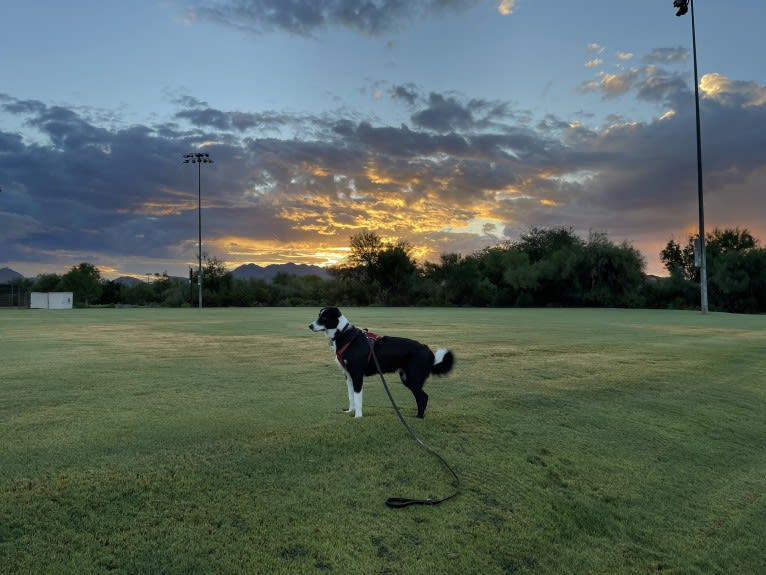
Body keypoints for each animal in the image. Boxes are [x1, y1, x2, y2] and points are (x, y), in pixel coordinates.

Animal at [312, 308, 456, 420]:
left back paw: (419, 417)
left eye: (324, 317)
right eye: (319, 316)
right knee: (421, 397)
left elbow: (358, 397)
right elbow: (351, 396)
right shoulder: (348, 375)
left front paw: (358, 416)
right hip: (408, 379)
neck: (343, 334)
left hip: (412, 379)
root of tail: (428, 350)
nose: (310, 326)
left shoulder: (357, 375)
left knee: (423, 397)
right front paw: (350, 411)